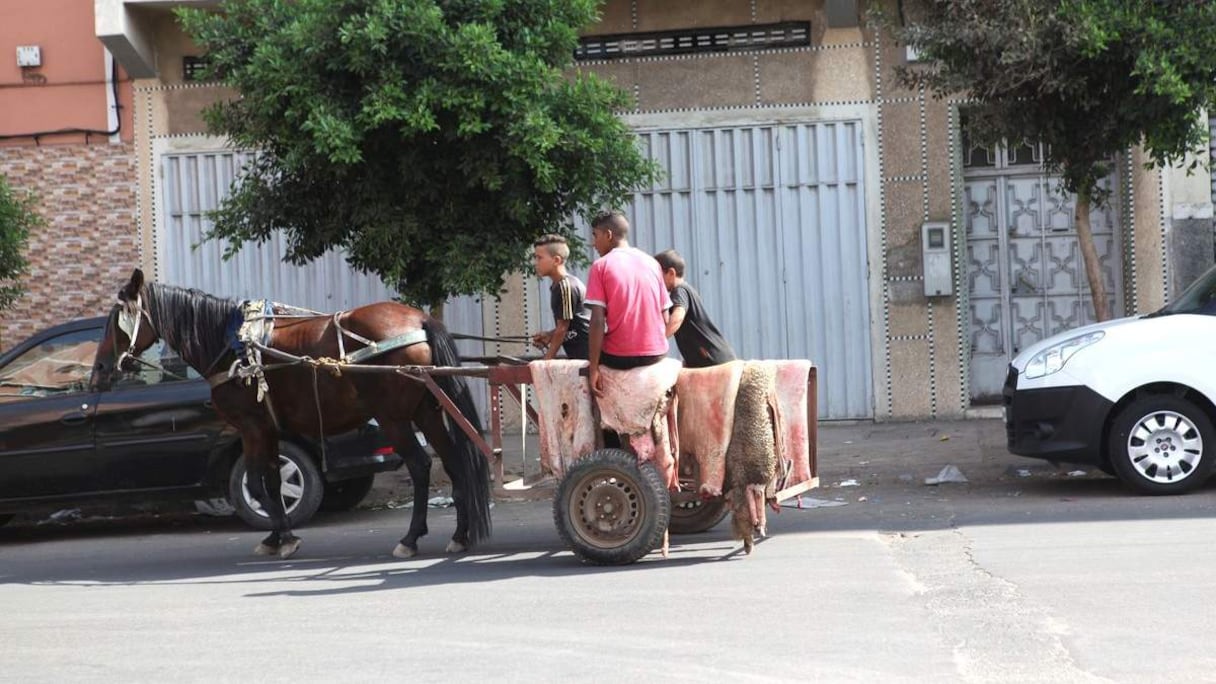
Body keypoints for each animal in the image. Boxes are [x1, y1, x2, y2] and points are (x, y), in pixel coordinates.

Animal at [97, 267, 491, 559]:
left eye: (117, 317)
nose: (99, 369)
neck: (232, 345)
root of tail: (419, 320)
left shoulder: (252, 427)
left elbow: (257, 483)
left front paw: (284, 538)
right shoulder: (269, 430)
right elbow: (270, 481)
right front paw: (276, 536)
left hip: (394, 418)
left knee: (421, 467)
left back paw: (410, 539)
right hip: (427, 412)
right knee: (454, 461)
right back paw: (460, 534)